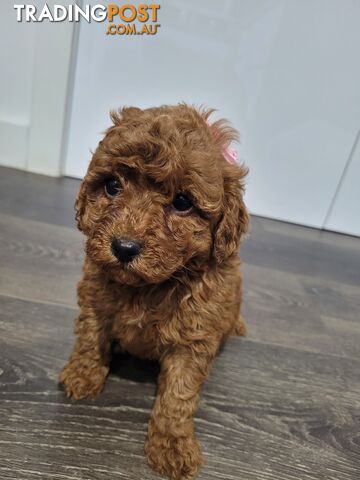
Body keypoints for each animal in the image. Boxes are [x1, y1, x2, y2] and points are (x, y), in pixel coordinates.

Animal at [60, 103, 249, 478]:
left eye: (183, 202)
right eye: (112, 185)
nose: (124, 247)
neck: (150, 286)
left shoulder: (194, 338)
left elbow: (177, 395)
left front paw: (172, 446)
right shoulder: (95, 300)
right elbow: (89, 340)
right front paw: (82, 376)